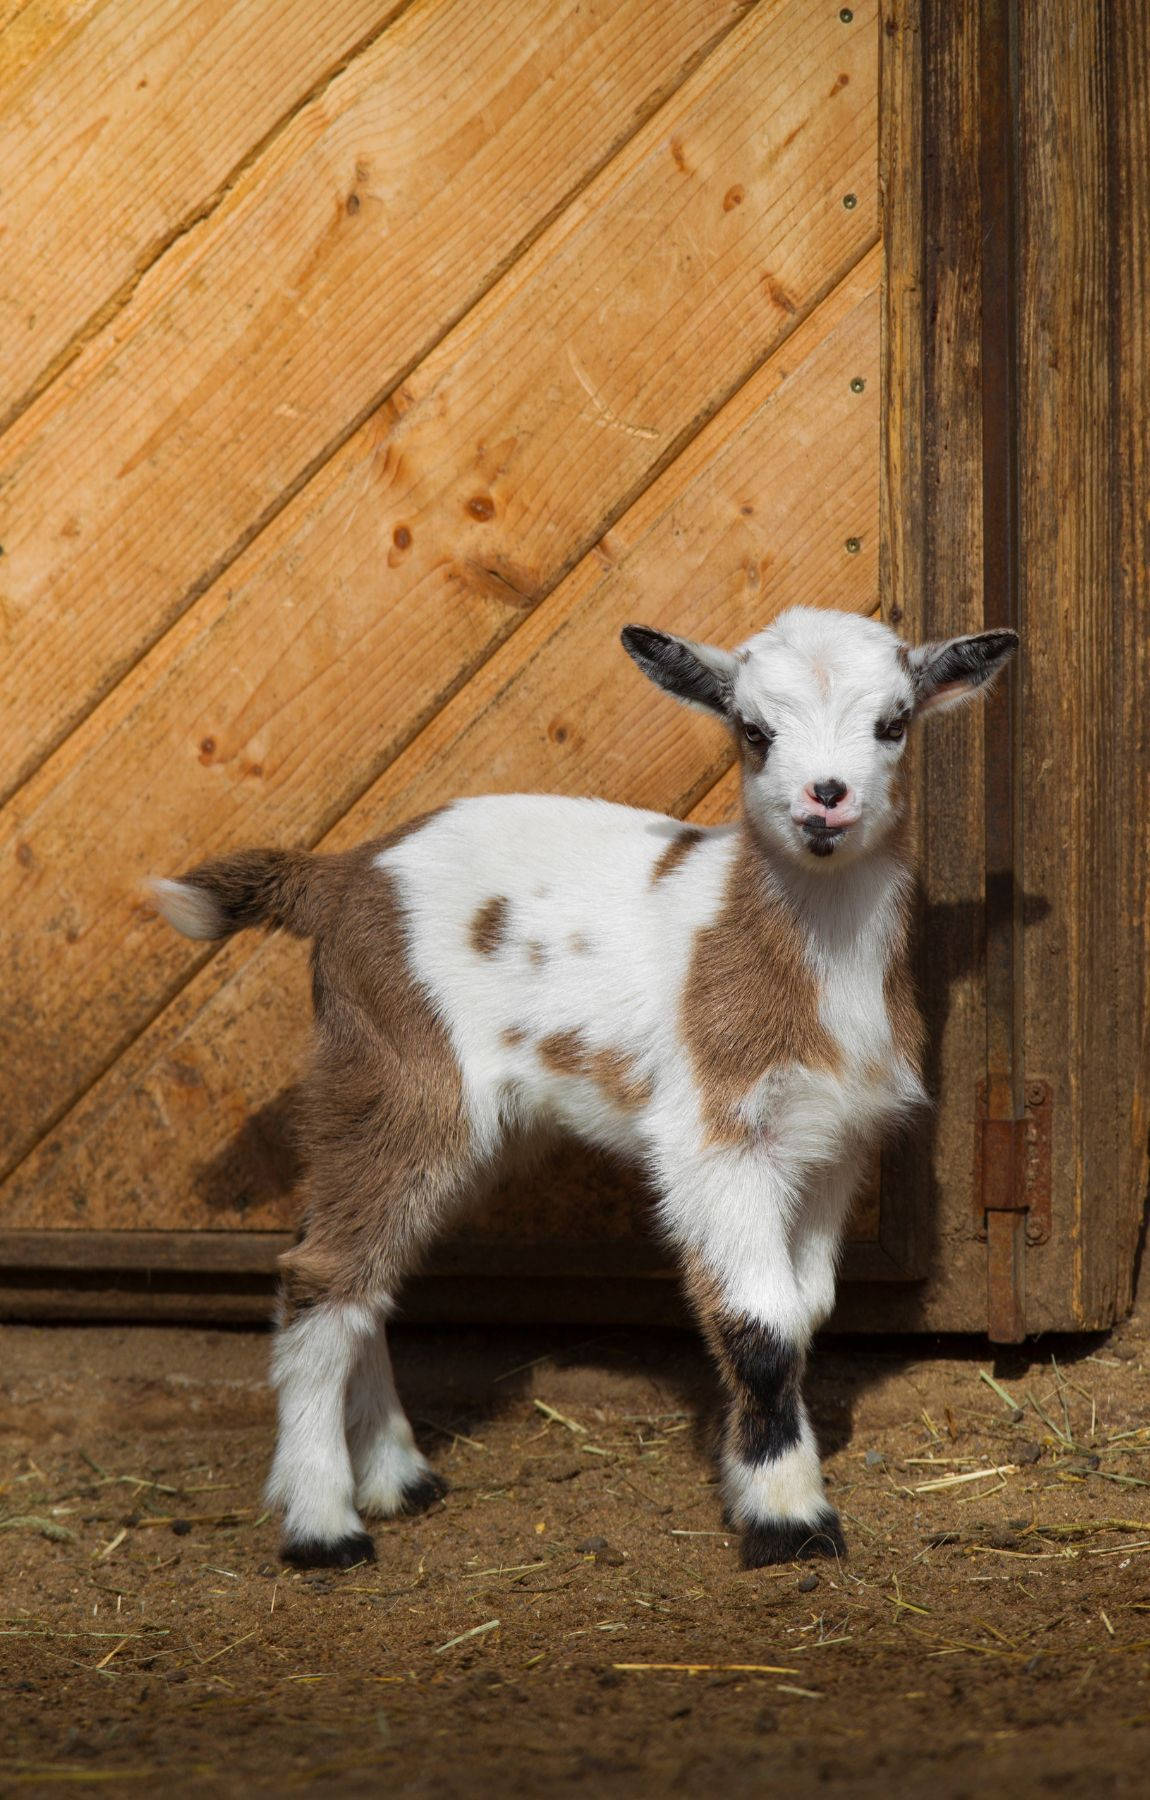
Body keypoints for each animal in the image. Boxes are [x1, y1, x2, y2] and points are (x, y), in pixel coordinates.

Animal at [153, 605, 1018, 1569]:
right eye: (752, 730)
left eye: (893, 724)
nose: (823, 799)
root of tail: (340, 877)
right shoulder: (712, 1134)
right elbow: (757, 1323)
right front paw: (788, 1518)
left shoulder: (833, 1143)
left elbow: (802, 1313)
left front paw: (750, 1478)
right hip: (405, 1073)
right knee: (322, 1273)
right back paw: (321, 1525)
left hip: (435, 1112)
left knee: (362, 1266)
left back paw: (397, 1478)